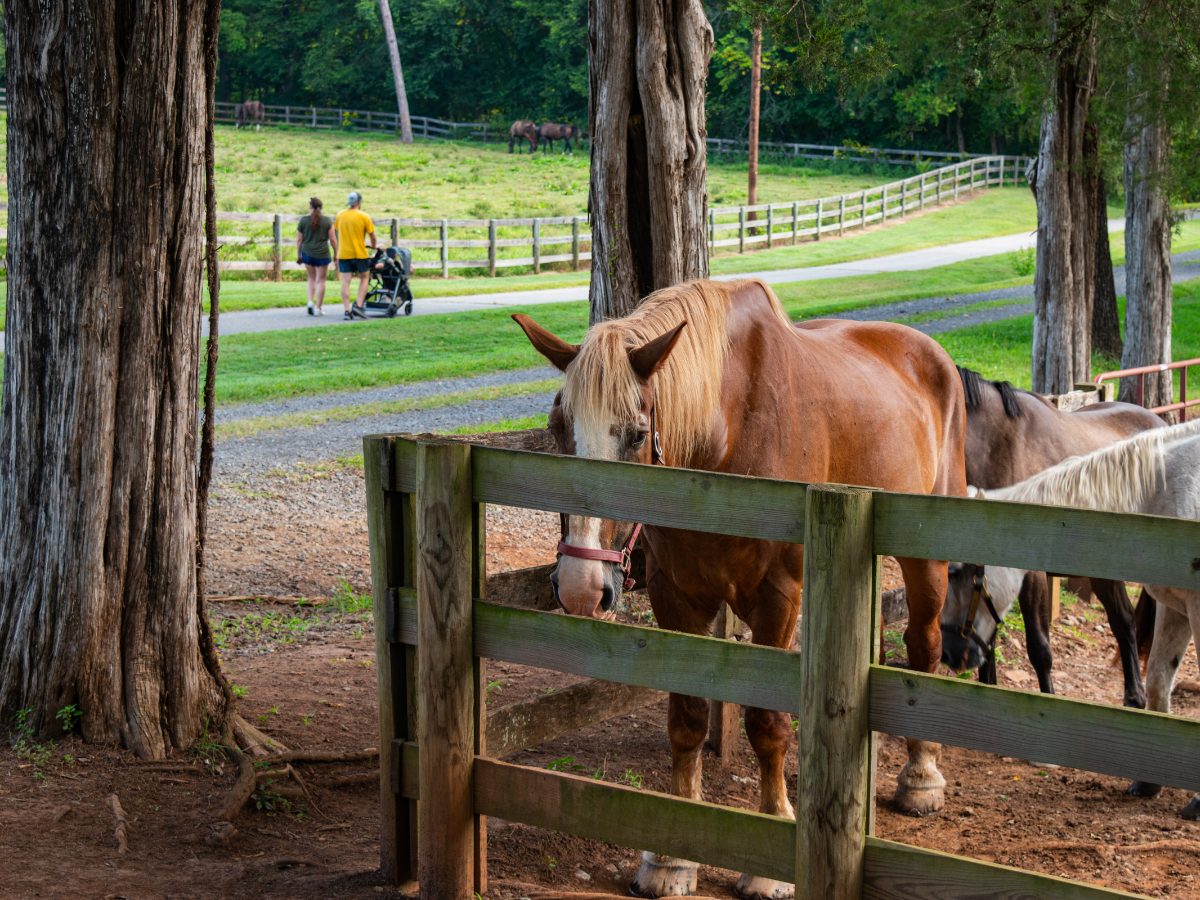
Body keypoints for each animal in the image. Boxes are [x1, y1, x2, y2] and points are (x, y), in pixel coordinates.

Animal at [514, 278, 966, 899]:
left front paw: (769, 858)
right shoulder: (676, 597)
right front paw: (672, 858)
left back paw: (921, 777)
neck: (724, 435)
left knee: (923, 646)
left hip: (926, 562)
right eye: (559, 429)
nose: (582, 587)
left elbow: (766, 725)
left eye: (636, 435)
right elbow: (686, 720)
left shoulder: (778, 600)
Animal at [960, 418, 1200, 819]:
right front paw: (1150, 782)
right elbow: (1158, 682)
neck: (1169, 486)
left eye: (961, 573)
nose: (953, 651)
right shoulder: (1176, 608)